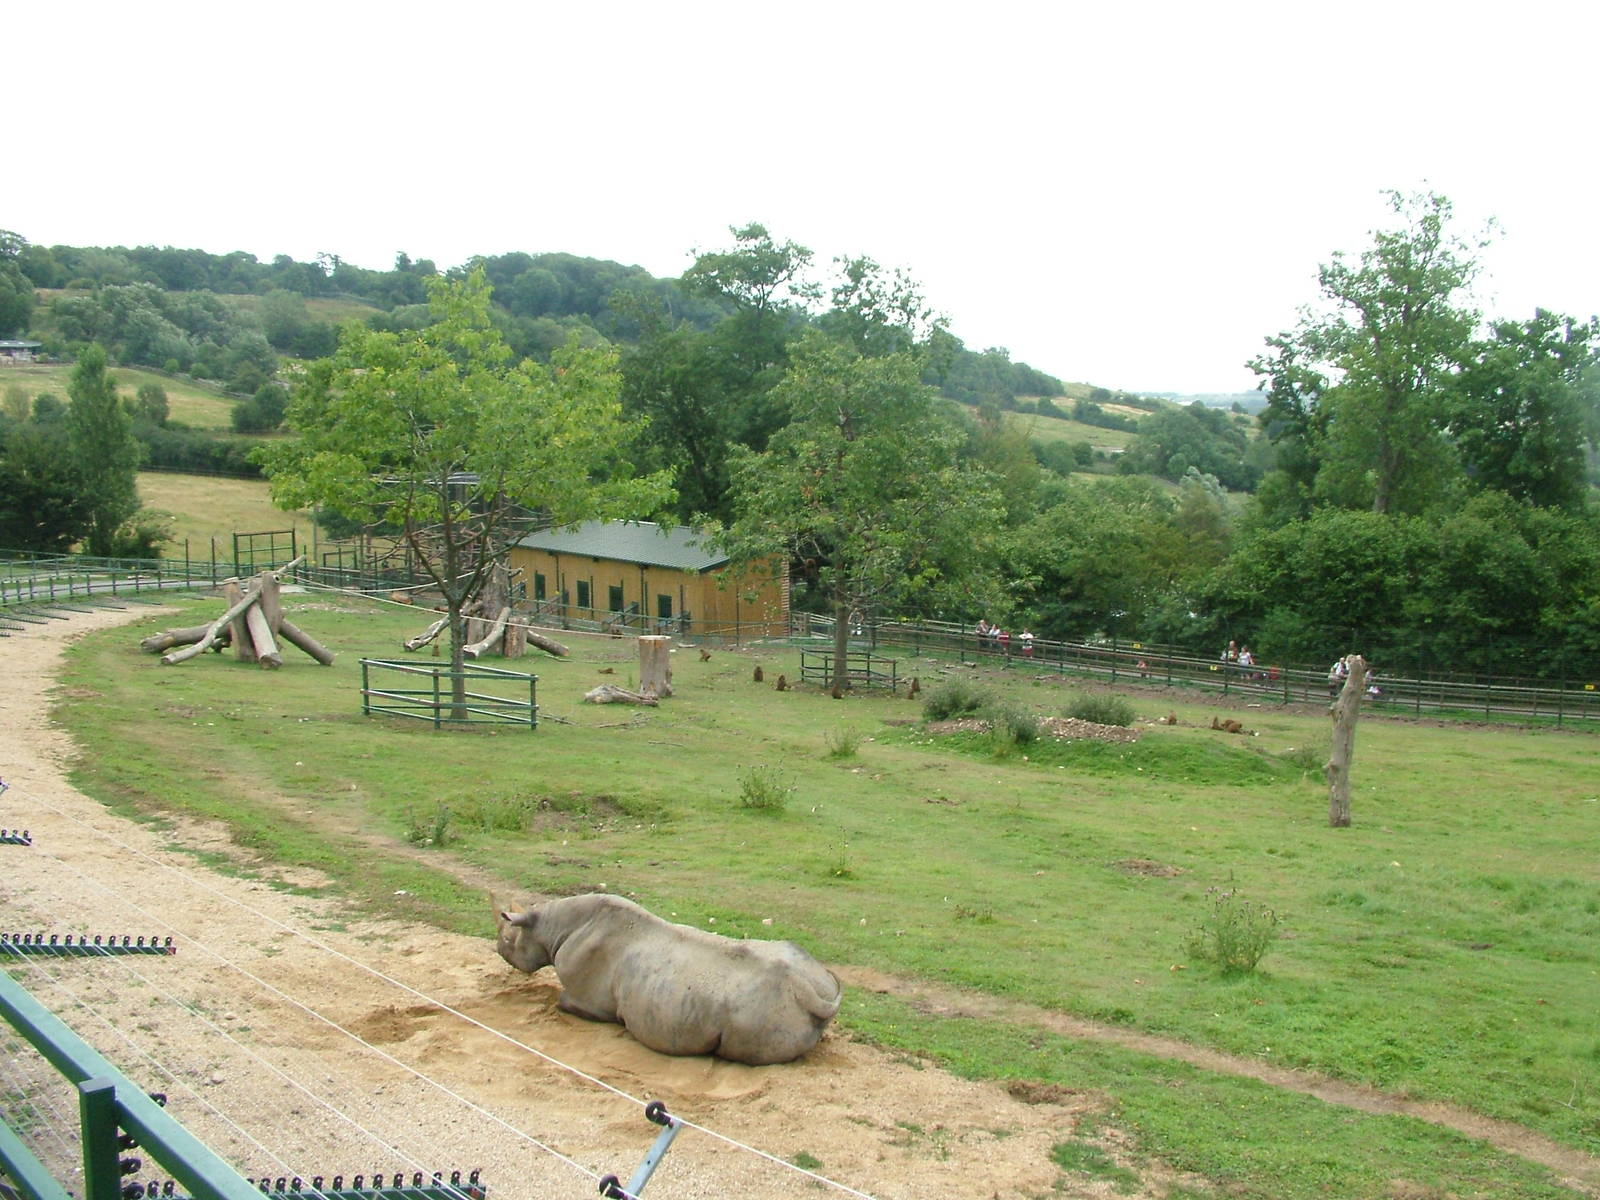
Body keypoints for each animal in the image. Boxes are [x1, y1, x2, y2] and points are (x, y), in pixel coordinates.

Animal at [494, 893, 841, 1065]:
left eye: (509, 939)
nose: (498, 950)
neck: (548, 924)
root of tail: (811, 992)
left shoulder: (586, 1000)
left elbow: (562, 1000)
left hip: (757, 1013)